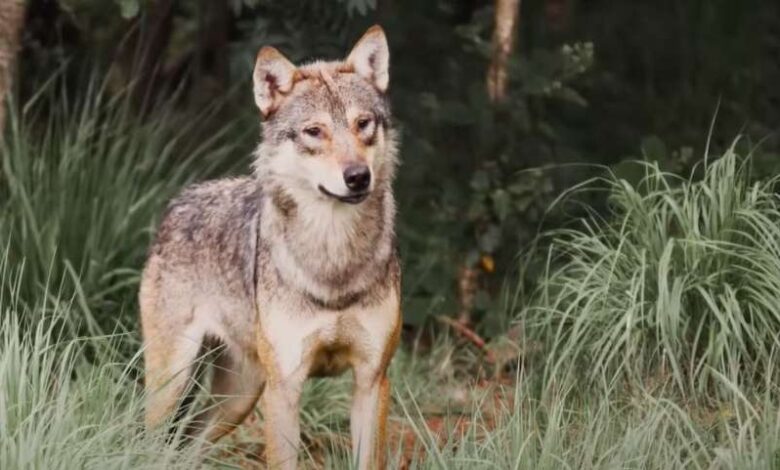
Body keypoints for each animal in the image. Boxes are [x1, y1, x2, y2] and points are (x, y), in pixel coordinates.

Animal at [139, 26, 400, 470]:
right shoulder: (286, 388)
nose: (357, 177)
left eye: (363, 123)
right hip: (174, 384)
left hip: (238, 397)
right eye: (314, 132)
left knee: (188, 443)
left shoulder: (371, 381)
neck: (332, 258)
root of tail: (179, 201)